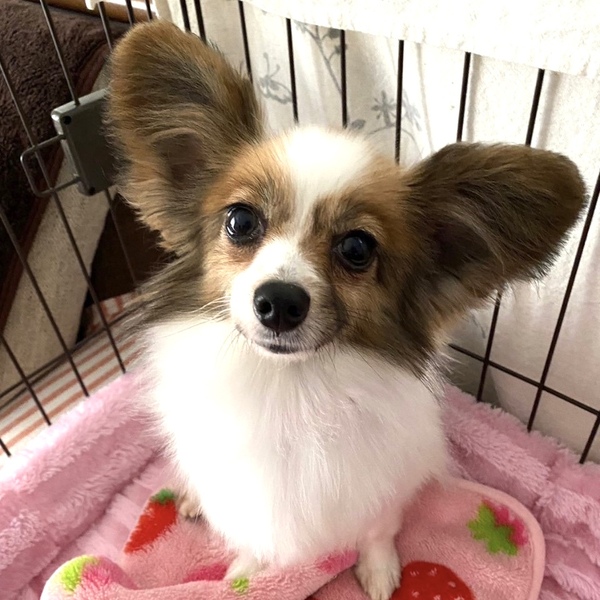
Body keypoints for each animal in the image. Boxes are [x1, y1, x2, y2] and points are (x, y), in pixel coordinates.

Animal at [108, 21, 586, 600]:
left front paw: (378, 569)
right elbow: (251, 538)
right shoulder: (243, 492)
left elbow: (377, 528)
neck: (293, 387)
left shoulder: (380, 481)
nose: (279, 302)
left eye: (357, 248)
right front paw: (247, 575)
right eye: (241, 221)